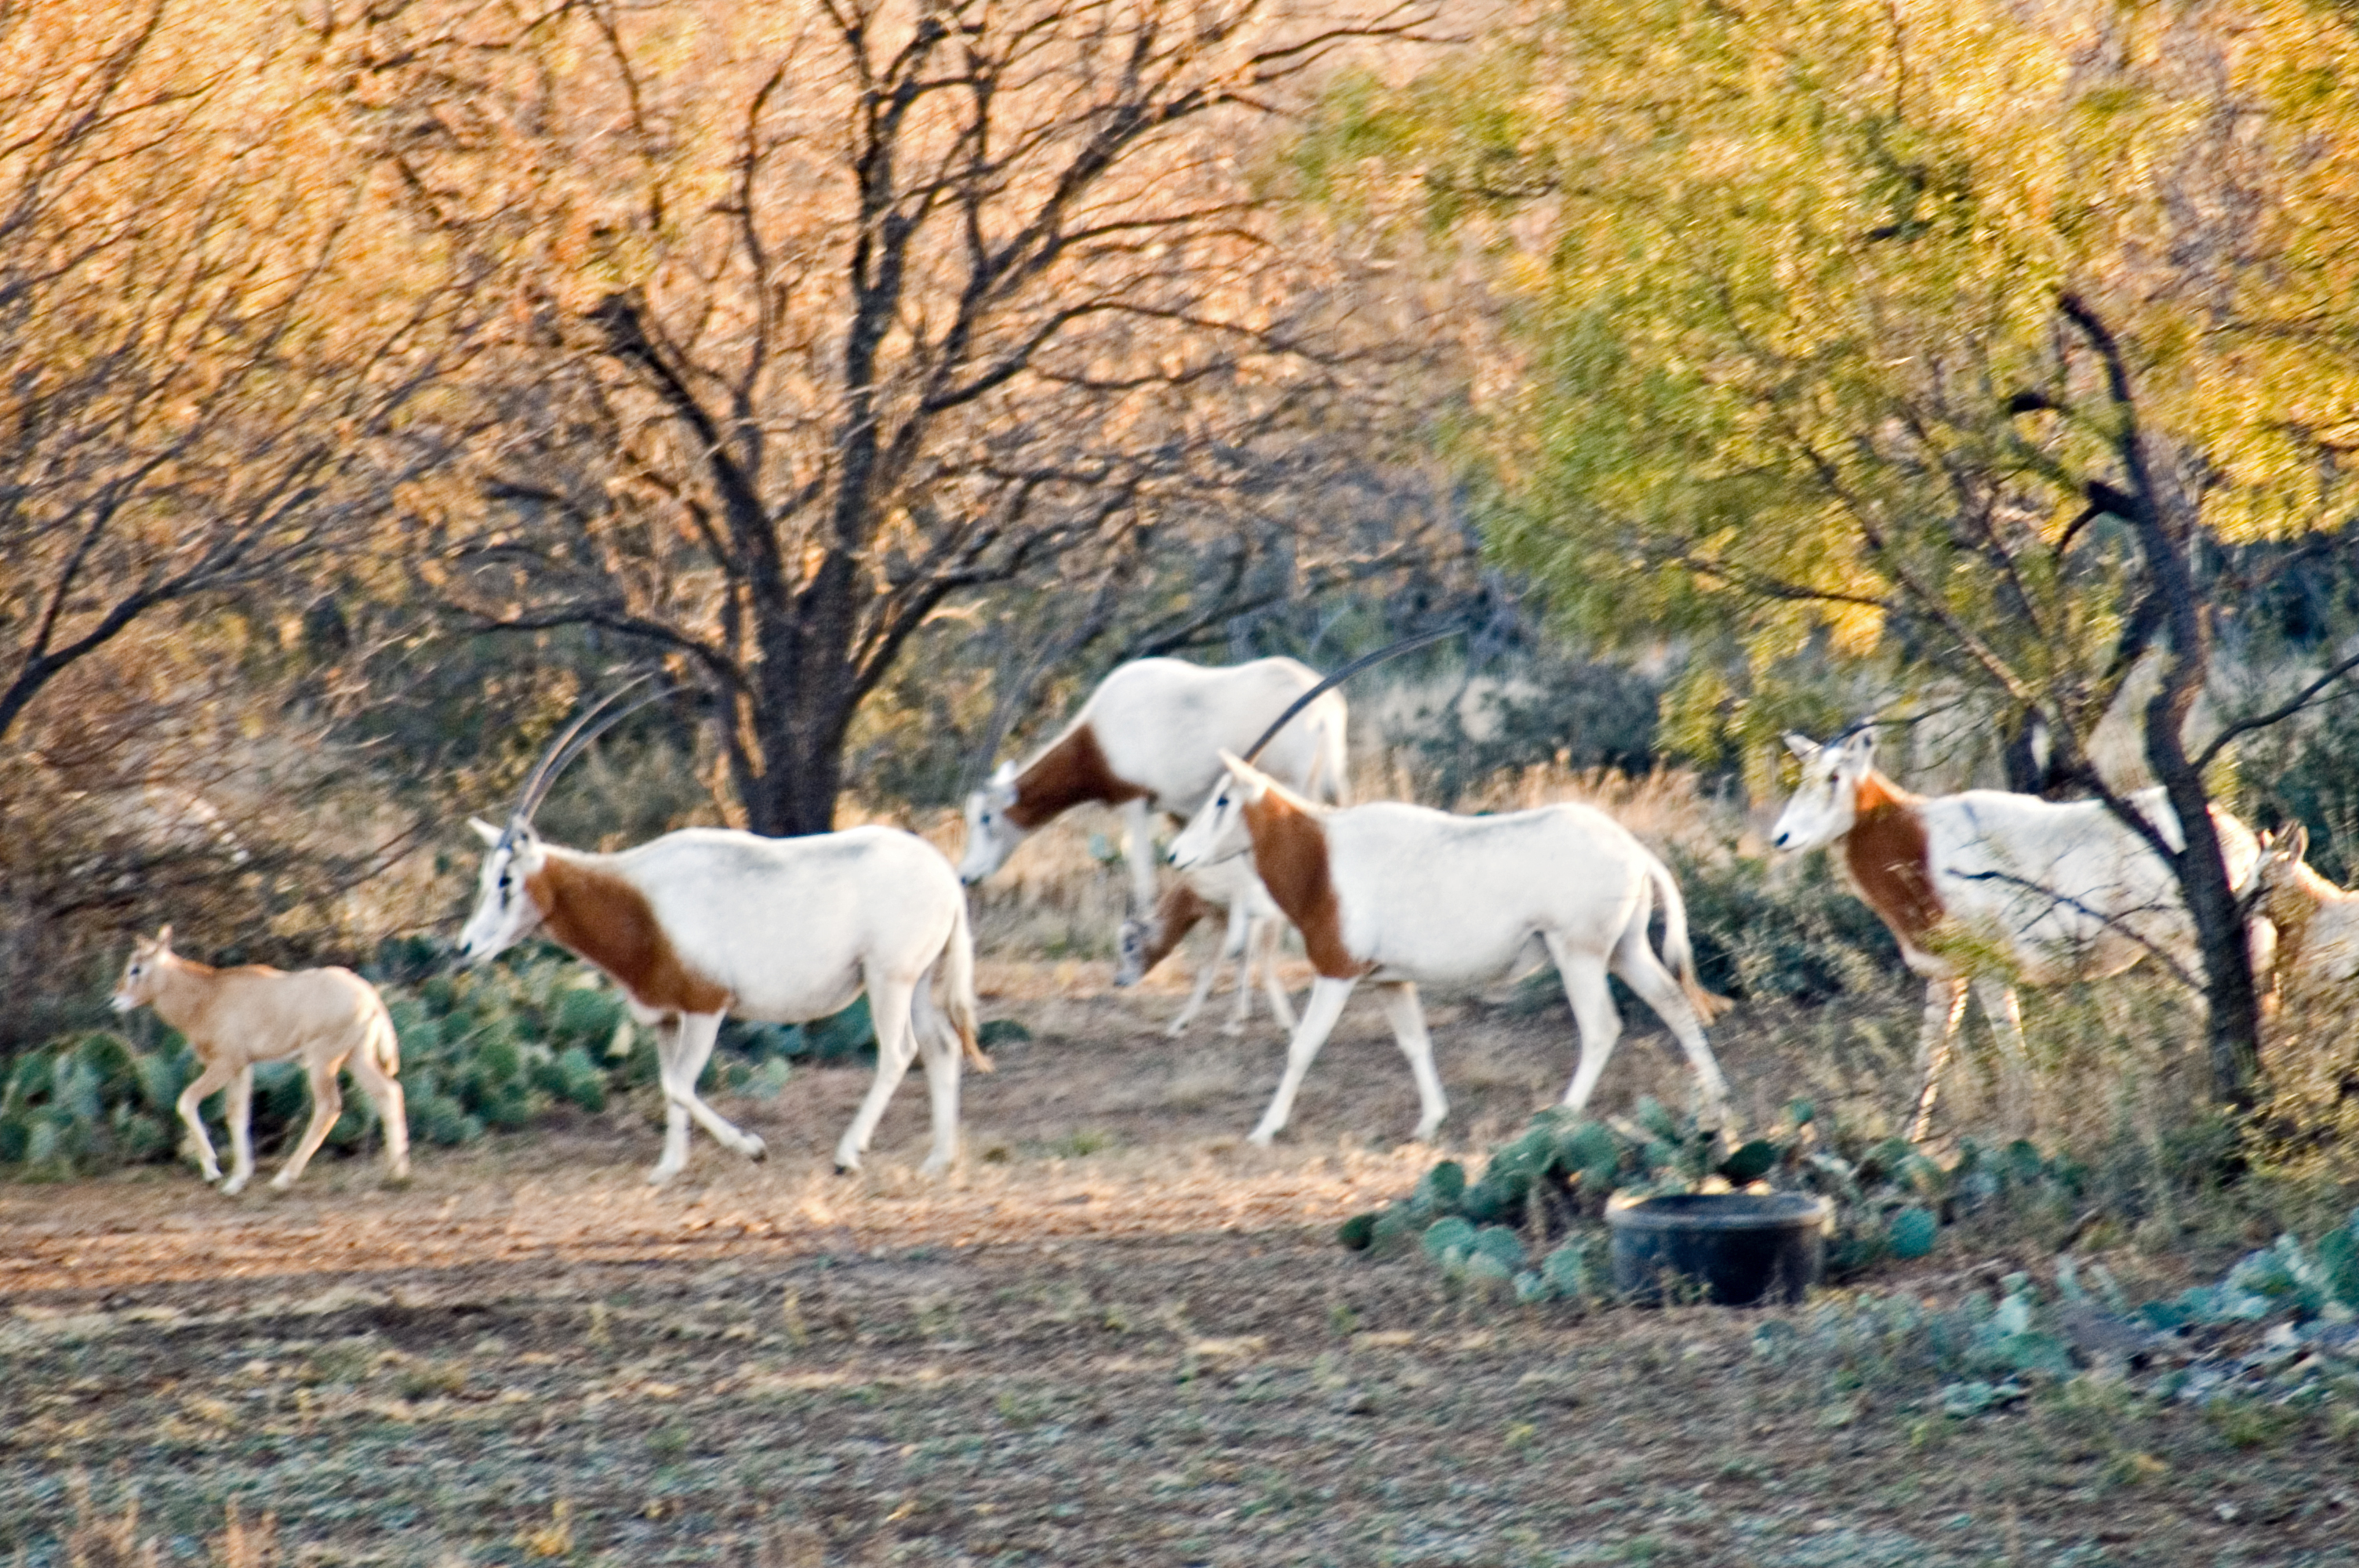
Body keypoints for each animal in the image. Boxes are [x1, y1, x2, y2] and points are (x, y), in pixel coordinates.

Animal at [111, 924, 408, 1192]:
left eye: (136, 968)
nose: (115, 999)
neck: (208, 995)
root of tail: (370, 998)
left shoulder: (225, 1063)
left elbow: (186, 1102)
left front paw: (213, 1172)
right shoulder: (243, 1068)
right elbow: (237, 1115)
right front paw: (237, 1180)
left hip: (324, 1061)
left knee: (329, 1107)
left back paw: (283, 1179)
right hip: (356, 1057)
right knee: (388, 1091)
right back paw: (398, 1173)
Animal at [1165, 754, 1736, 1145]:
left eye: (1222, 799)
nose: (1174, 854)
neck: (1321, 856)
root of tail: (1635, 852)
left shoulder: (1337, 973)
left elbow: (1302, 1048)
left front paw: (1265, 1129)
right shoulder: (1390, 980)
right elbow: (1416, 1043)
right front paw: (1431, 1121)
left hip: (1579, 955)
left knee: (1602, 1028)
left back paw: (1564, 1115)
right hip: (1625, 951)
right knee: (1673, 1003)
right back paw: (1717, 1100)